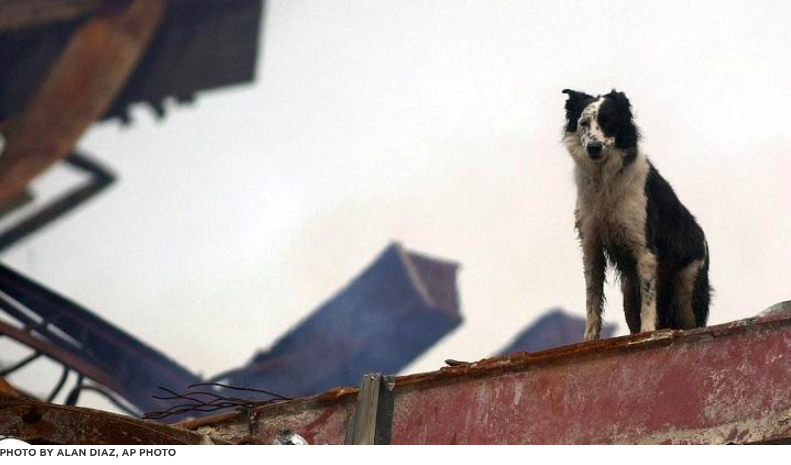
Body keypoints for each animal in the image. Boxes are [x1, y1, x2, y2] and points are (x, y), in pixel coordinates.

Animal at [564, 89, 712, 338]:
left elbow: (649, 301)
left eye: (609, 121)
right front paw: (589, 338)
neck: (605, 181)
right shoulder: (591, 246)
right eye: (583, 123)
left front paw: (648, 331)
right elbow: (592, 299)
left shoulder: (645, 249)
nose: (593, 147)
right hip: (629, 292)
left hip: (686, 289)